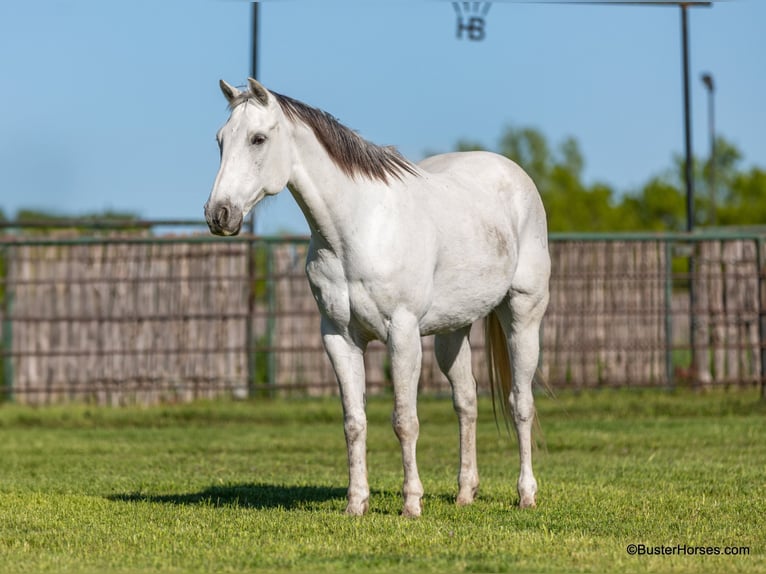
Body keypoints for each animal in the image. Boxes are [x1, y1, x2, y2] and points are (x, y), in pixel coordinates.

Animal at [206, 79, 552, 520]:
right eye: (220, 140)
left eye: (258, 139)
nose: (219, 214)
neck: (357, 227)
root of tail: (515, 175)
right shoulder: (339, 338)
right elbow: (354, 422)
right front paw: (356, 503)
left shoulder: (401, 335)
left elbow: (405, 420)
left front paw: (411, 504)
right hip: (452, 332)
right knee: (466, 402)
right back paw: (464, 493)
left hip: (522, 315)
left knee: (520, 403)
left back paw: (526, 494)